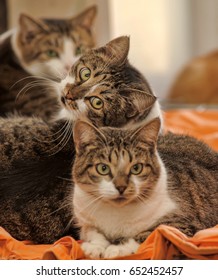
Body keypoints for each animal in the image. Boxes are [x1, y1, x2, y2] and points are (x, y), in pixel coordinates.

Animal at [73, 119, 218, 260]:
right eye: (103, 168)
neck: (116, 213)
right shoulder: (84, 219)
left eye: (136, 168)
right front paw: (94, 247)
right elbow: (91, 231)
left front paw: (117, 249)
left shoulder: (183, 225)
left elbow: (150, 233)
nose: (121, 187)